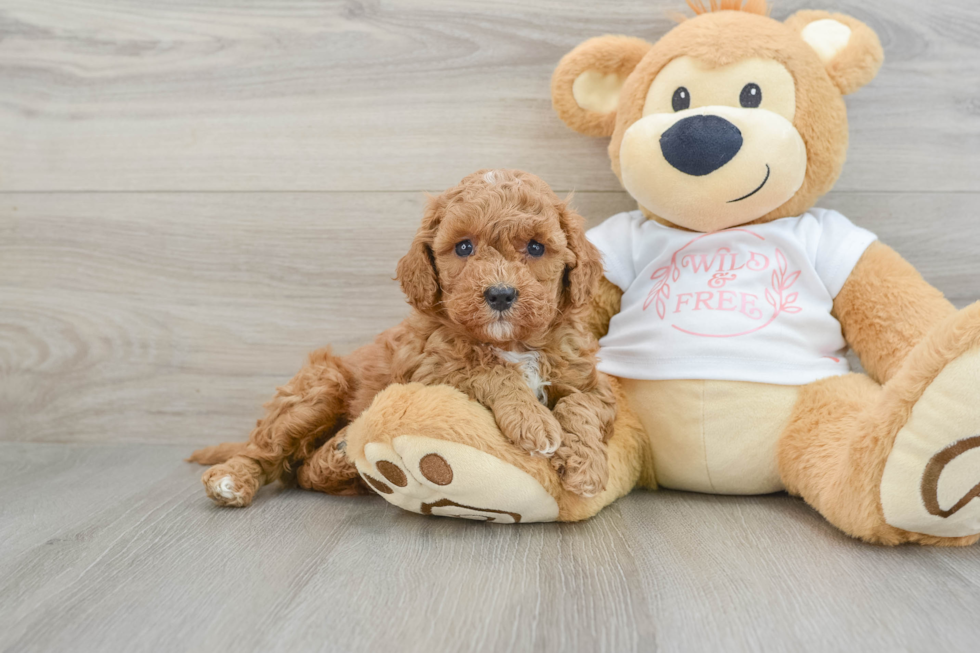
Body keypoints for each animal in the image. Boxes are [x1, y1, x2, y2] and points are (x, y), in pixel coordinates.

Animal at [191, 169, 616, 504]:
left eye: (536, 247)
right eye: (464, 247)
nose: (500, 294)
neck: (511, 342)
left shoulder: (592, 383)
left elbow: (580, 405)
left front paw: (588, 467)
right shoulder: (429, 372)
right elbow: (488, 370)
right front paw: (532, 420)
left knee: (304, 473)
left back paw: (340, 453)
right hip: (319, 386)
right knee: (268, 453)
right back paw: (232, 478)